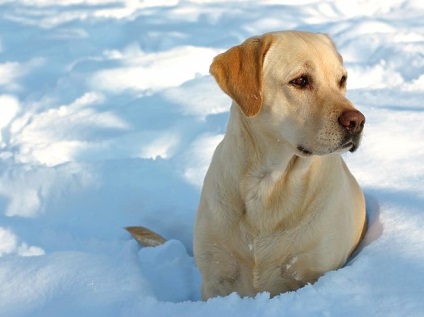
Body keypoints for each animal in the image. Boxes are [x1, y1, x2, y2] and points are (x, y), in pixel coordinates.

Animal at [127, 30, 366, 300]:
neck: (268, 184)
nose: (357, 121)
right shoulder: (215, 279)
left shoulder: (312, 273)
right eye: (301, 80)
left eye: (342, 80)